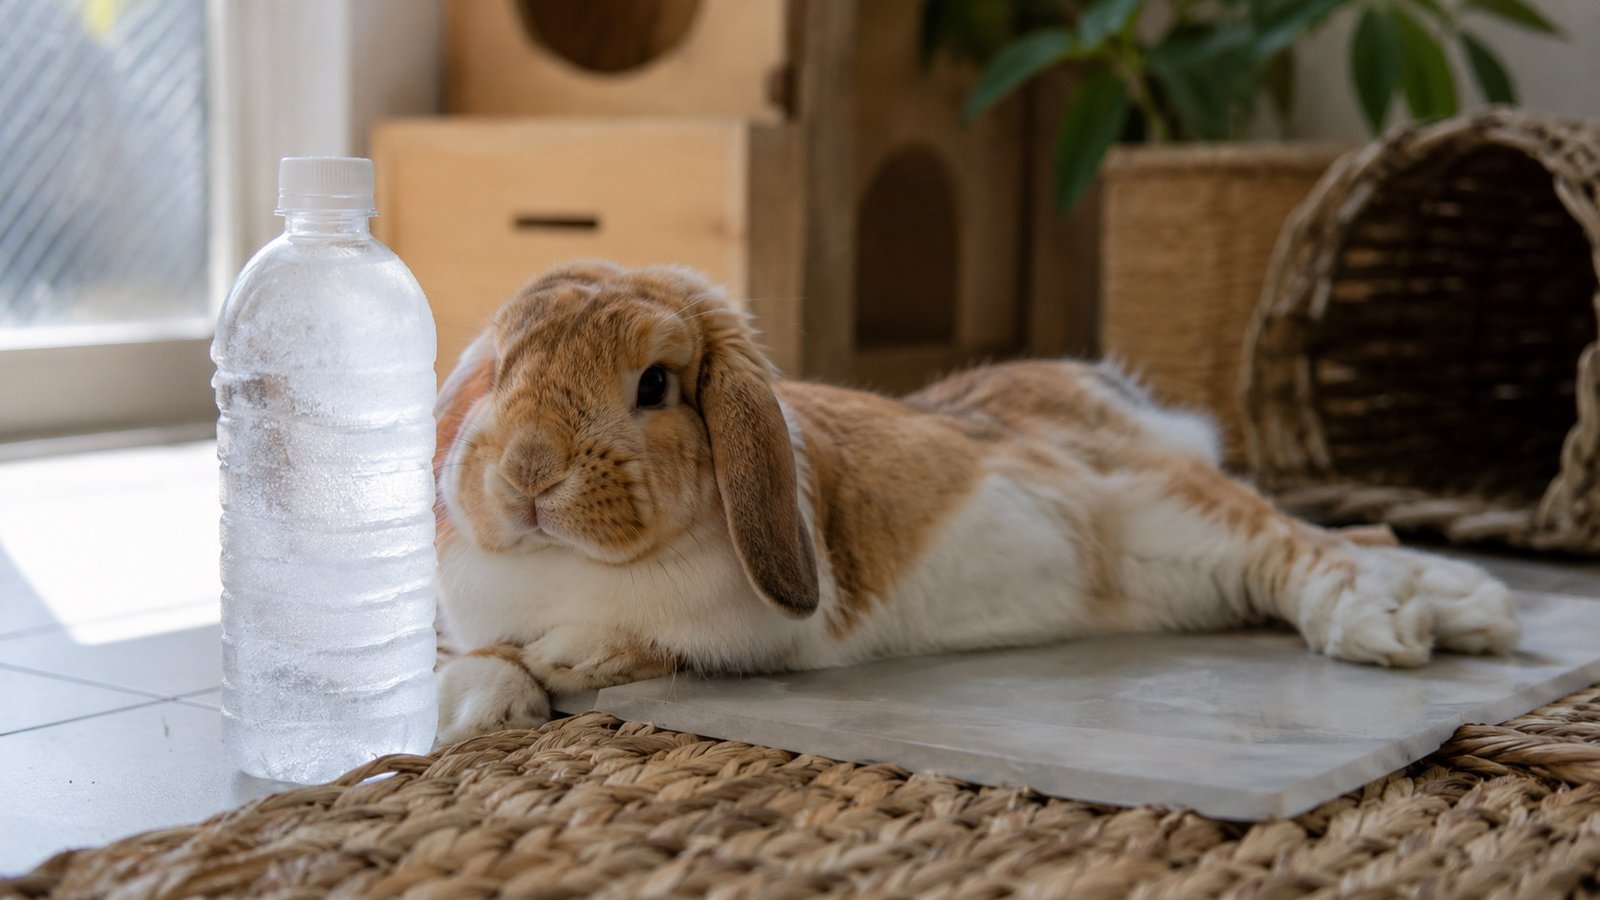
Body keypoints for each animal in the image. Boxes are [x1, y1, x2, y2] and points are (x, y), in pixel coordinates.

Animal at [431, 260, 1521, 744]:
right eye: (500, 373)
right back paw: (1471, 607)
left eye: (654, 385)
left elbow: (631, 645)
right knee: (1363, 532)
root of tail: (1102, 392)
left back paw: (1387, 624)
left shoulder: (764, 625)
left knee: (1313, 547)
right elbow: (471, 647)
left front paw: (545, 665)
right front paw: (468, 696)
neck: (570, 567)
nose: (525, 475)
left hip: (1181, 516)